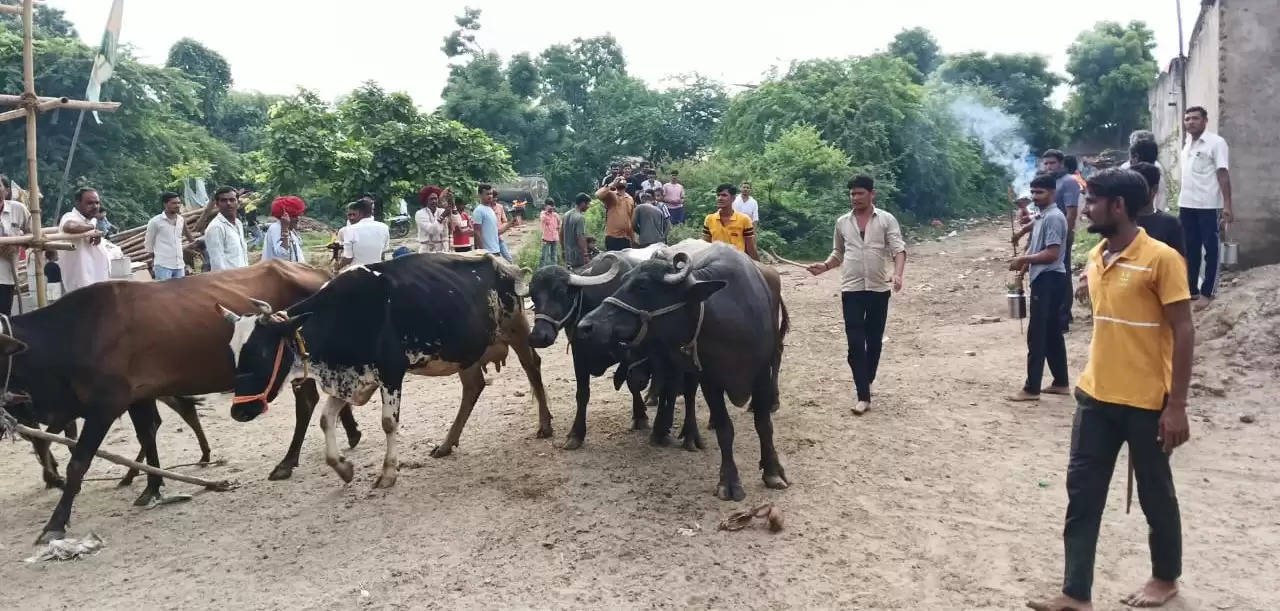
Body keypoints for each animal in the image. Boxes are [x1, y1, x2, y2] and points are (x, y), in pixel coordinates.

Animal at [1, 260, 360, 540]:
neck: (72, 335)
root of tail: (318, 272)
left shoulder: (106, 404)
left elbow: (78, 461)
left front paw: (55, 523)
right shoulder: (138, 395)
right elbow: (147, 434)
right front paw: (152, 486)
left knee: (307, 403)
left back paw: (288, 461)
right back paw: (351, 434)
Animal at [220, 251, 550, 486]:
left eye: (261, 352)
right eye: (233, 352)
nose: (239, 412)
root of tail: (500, 261)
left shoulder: (391, 373)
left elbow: (389, 423)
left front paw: (388, 473)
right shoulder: (352, 379)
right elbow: (326, 420)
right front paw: (343, 469)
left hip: (516, 329)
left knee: (532, 366)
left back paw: (545, 424)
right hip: (465, 352)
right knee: (473, 387)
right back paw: (446, 444)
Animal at [576, 243, 783, 499]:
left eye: (642, 286)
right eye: (623, 281)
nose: (585, 325)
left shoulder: (761, 373)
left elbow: (764, 425)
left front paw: (773, 471)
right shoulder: (710, 379)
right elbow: (725, 429)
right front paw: (729, 481)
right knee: (682, 393)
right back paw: (678, 432)